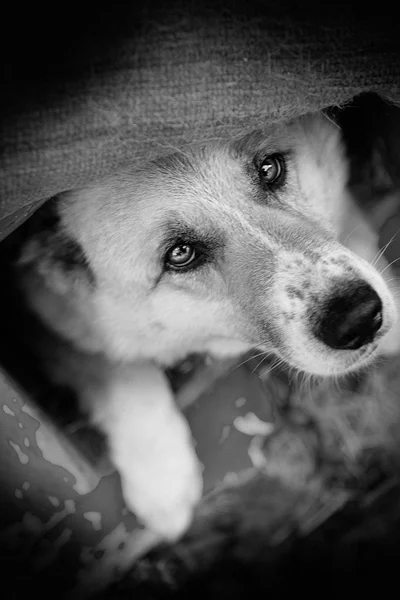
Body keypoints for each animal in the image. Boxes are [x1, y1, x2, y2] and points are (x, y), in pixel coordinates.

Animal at [4, 110, 398, 540]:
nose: (360, 318)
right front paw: (162, 481)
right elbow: (123, 375)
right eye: (180, 253)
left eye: (269, 168)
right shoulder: (50, 326)